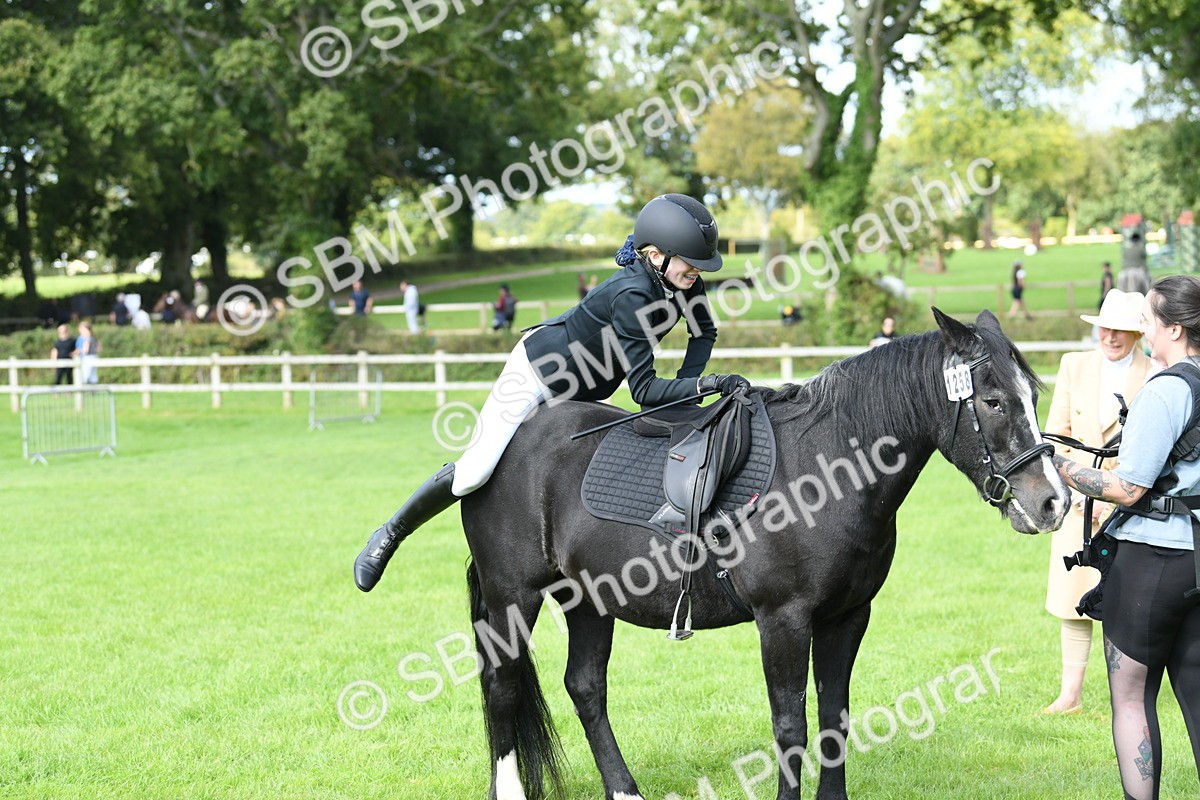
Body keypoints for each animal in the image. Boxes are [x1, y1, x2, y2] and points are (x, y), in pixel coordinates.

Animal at [455, 309, 1070, 800]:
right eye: (993, 401)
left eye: (1034, 397)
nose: (1053, 501)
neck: (825, 471)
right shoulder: (783, 620)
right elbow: (790, 727)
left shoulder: (848, 617)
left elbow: (834, 719)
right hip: (513, 598)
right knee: (503, 688)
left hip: (587, 600)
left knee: (585, 687)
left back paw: (624, 791)